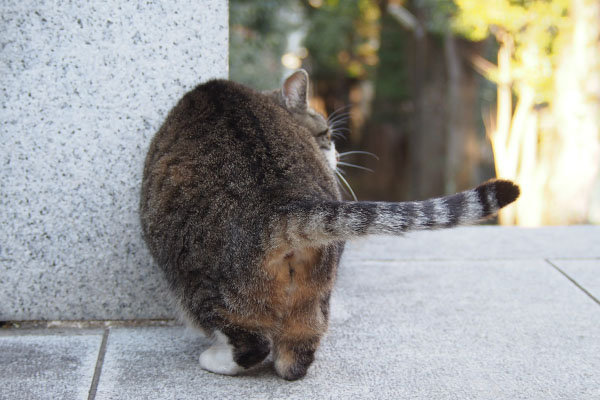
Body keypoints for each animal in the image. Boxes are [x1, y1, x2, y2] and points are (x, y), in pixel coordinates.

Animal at [138, 69, 516, 382]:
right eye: (326, 134)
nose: (335, 153)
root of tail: (282, 205)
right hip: (317, 293)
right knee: (296, 358)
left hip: (195, 282)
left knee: (250, 344)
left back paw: (214, 358)